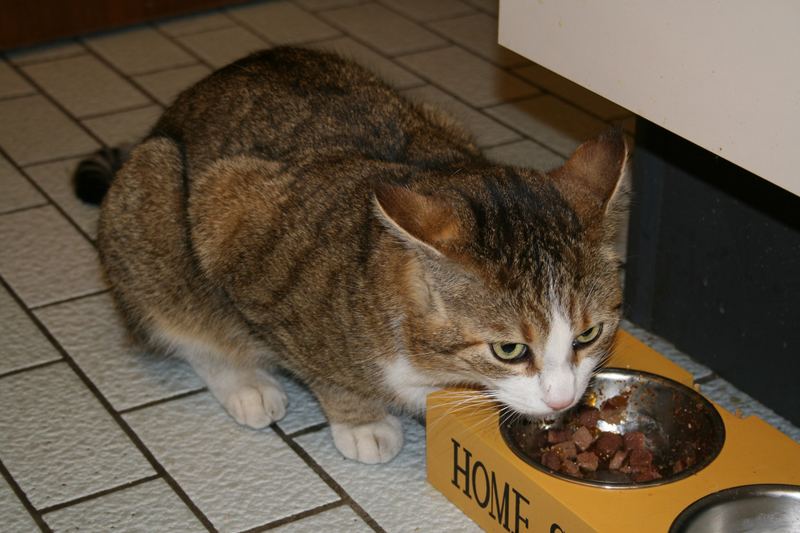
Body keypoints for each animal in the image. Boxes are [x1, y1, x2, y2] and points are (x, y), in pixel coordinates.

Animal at [75, 46, 628, 462]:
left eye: (588, 335)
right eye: (509, 350)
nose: (562, 398)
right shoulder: (232, 224)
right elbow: (321, 369)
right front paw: (361, 420)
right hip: (153, 197)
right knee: (181, 321)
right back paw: (243, 383)